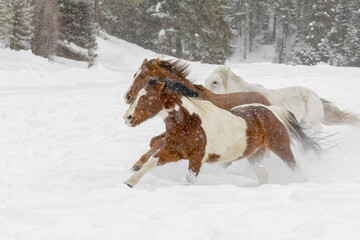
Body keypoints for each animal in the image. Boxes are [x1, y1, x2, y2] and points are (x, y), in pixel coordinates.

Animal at [122, 78, 320, 187]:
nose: (128, 117)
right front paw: (128, 183)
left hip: (281, 147)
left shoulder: (196, 159)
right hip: (256, 156)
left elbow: (189, 179)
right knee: (264, 176)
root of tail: (272, 110)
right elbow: (149, 163)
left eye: (147, 97)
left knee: (296, 169)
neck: (190, 122)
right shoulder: (171, 152)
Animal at [124, 58, 270, 171]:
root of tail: (267, 100)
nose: (127, 96)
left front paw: (138, 164)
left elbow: (158, 142)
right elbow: (154, 141)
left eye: (143, 76)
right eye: (134, 75)